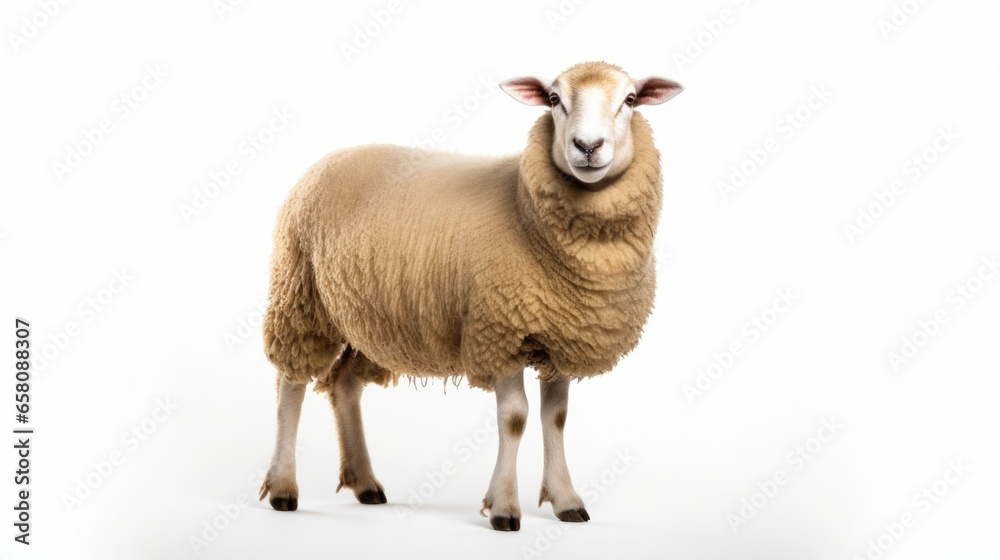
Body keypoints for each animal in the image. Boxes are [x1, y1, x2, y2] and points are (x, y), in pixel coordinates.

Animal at [257, 61, 683, 531]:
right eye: (554, 99)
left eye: (630, 100)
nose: (588, 146)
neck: (523, 210)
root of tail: (329, 158)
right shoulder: (498, 331)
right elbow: (514, 417)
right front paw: (504, 508)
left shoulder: (560, 335)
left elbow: (556, 417)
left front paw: (566, 500)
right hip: (301, 297)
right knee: (290, 384)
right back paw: (282, 487)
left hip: (371, 317)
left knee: (345, 383)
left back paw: (365, 483)